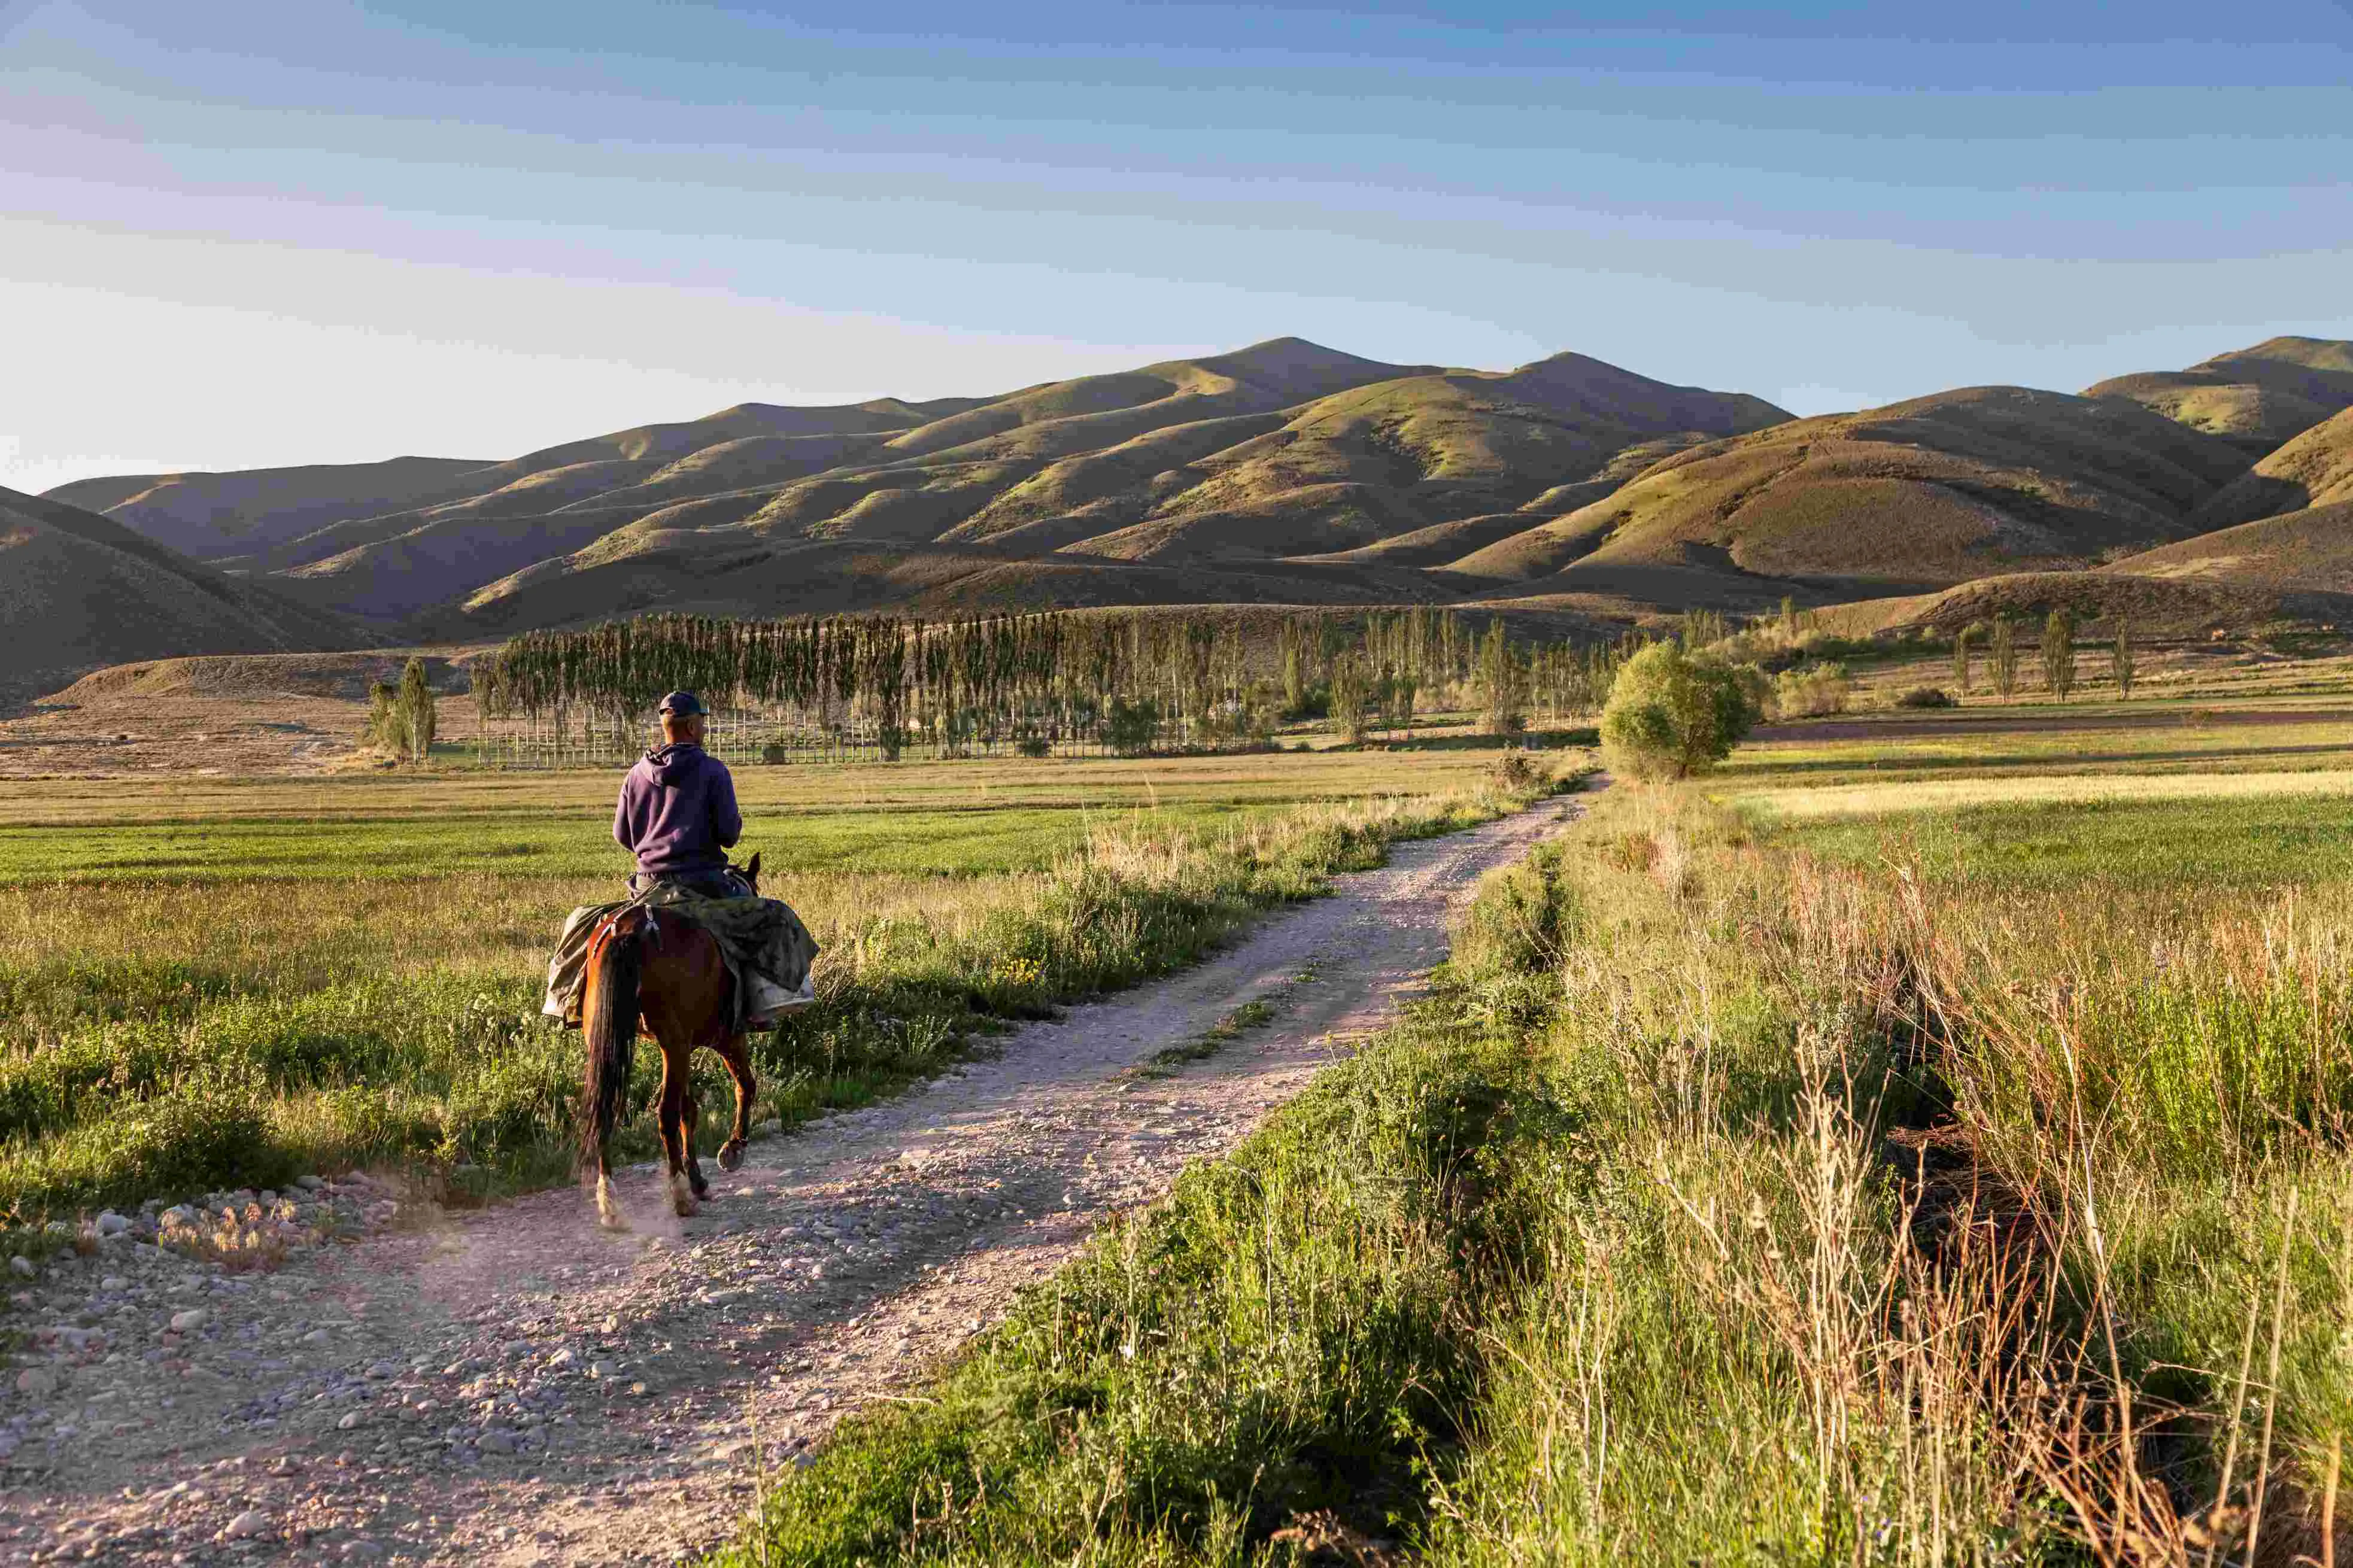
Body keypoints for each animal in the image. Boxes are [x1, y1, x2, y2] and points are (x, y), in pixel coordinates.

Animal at [579, 856, 762, 1224]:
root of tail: (633, 930)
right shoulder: (727, 1037)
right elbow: (745, 1086)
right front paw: (733, 1149)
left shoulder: (683, 1046)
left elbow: (689, 1109)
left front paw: (699, 1179)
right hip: (676, 1042)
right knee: (664, 1113)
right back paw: (678, 1195)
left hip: (612, 1041)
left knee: (606, 1106)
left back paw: (610, 1202)